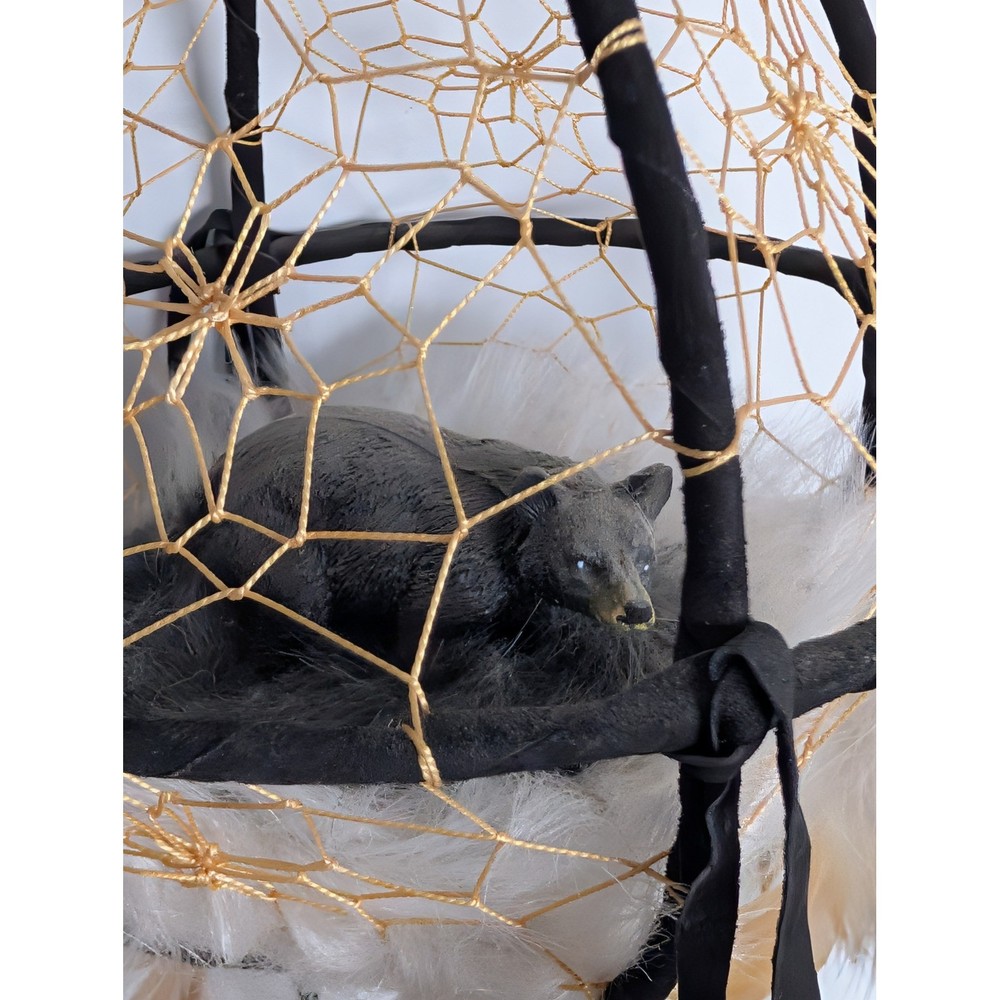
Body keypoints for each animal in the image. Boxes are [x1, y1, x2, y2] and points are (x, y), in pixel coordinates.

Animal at [125, 405, 674, 694]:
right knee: (292, 611)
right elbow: (418, 636)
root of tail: (208, 489)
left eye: (642, 559)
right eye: (583, 561)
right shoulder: (452, 574)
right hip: (278, 538)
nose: (636, 611)